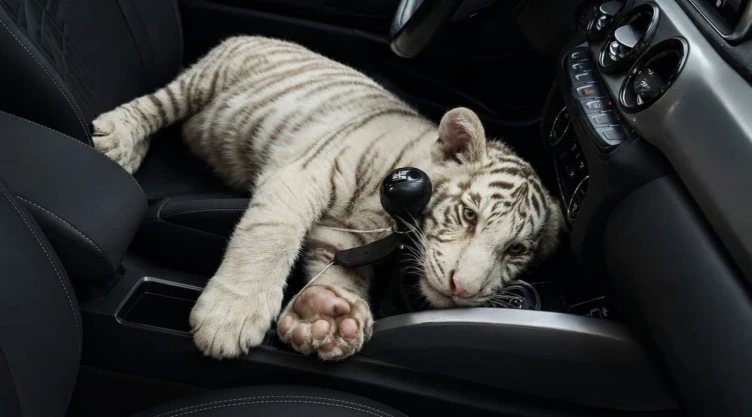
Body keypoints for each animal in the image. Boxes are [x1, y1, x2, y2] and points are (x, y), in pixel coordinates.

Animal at [91, 35, 564, 361]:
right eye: (468, 215)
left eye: (516, 250)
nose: (463, 290)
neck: (387, 215)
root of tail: (260, 35)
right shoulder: (301, 174)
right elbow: (269, 238)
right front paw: (229, 317)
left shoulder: (346, 235)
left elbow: (340, 272)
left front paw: (328, 316)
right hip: (203, 80)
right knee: (156, 104)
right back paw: (116, 138)